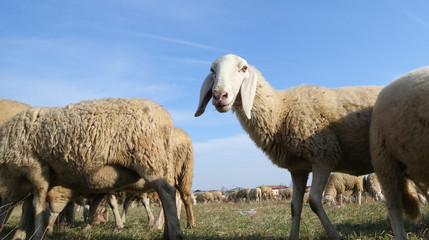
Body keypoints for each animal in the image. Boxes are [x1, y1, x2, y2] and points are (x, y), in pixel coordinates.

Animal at [0, 97, 182, 240]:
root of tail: (164, 116)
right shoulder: (35, 180)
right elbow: (27, 209)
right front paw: (19, 236)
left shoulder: (37, 170)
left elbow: (37, 206)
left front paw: (37, 235)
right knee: (165, 195)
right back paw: (166, 232)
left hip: (148, 159)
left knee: (167, 192)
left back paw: (175, 233)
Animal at [194, 54, 382, 240]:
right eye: (212, 70)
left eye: (244, 68)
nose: (220, 96)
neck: (280, 111)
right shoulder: (298, 169)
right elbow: (295, 206)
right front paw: (293, 236)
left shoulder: (324, 156)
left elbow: (314, 201)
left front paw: (335, 235)